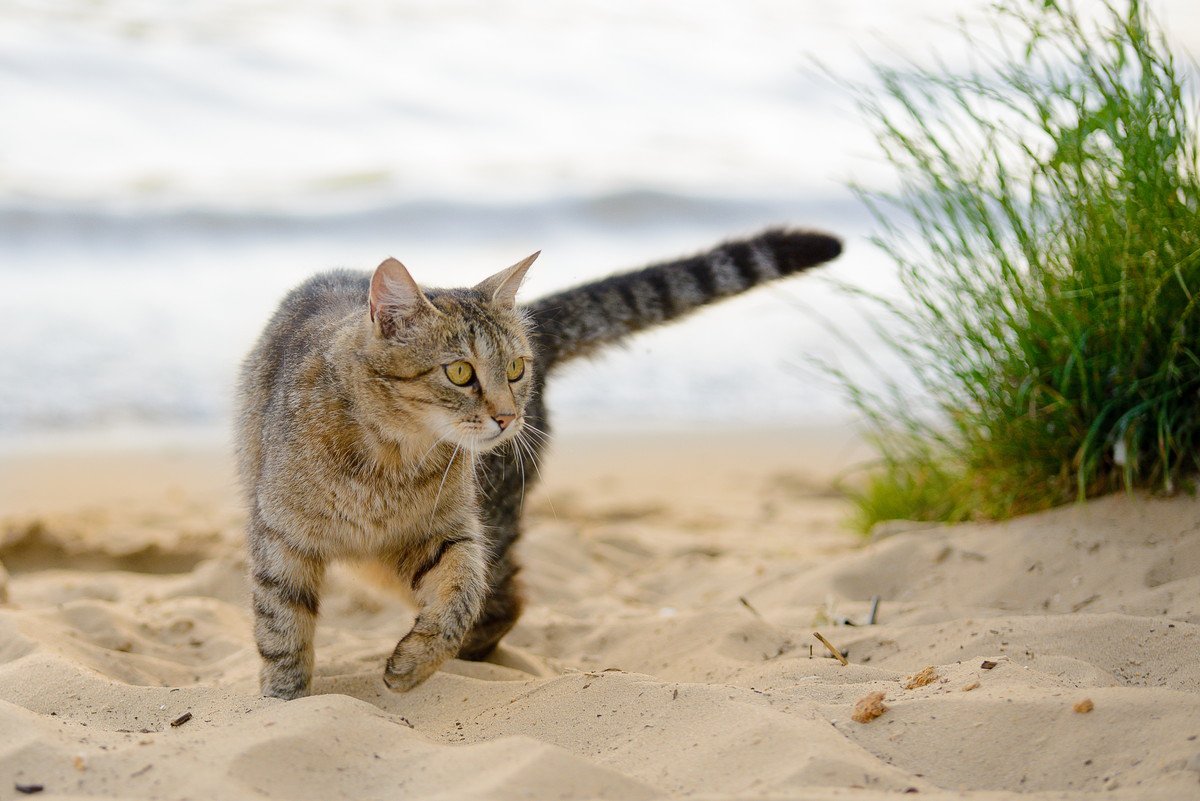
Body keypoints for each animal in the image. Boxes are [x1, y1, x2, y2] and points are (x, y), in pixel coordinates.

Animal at [236, 227, 844, 695]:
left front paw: (415, 663)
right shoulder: (280, 539)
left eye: (514, 369)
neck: (392, 458)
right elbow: (282, 632)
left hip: (490, 519)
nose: (507, 417)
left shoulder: (453, 531)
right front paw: (285, 701)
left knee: (502, 601)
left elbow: (460, 596)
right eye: (460, 372)